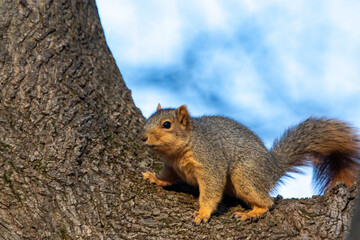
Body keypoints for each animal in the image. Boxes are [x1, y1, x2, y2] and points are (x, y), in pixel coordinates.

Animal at [141, 104, 360, 225]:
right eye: (148, 119)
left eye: (167, 125)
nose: (142, 137)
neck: (179, 152)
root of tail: (272, 169)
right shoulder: (171, 166)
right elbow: (167, 176)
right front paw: (154, 178)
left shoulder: (210, 162)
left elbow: (212, 188)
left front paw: (203, 213)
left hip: (245, 175)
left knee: (268, 202)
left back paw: (254, 213)